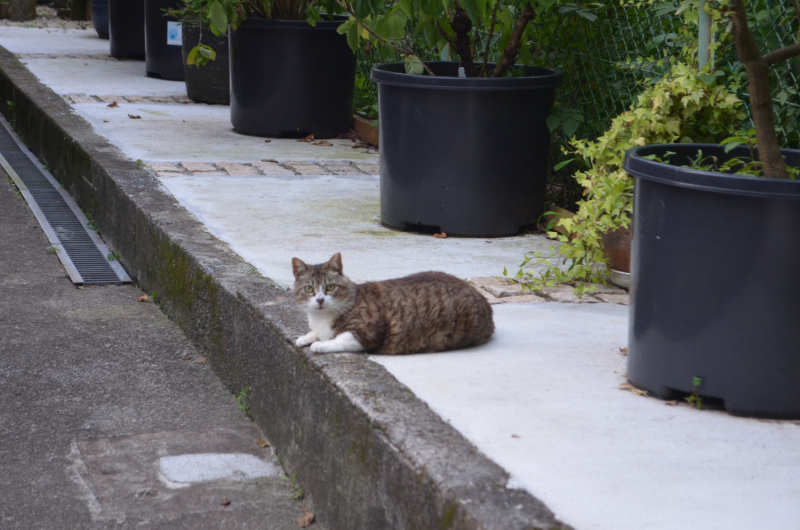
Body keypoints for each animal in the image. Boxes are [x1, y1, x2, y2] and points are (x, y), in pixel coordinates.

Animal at [292, 253, 494, 352]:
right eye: (309, 289)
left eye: (330, 287)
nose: (320, 299)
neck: (321, 317)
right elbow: (316, 333)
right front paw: (305, 337)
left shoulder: (368, 332)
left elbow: (339, 339)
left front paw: (319, 344)